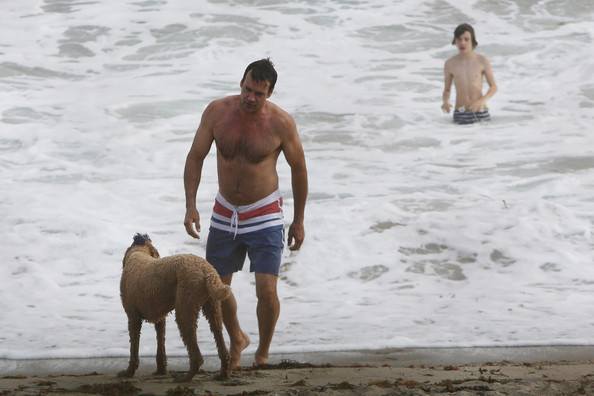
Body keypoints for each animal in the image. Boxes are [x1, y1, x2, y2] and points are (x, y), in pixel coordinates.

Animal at [119, 234, 230, 382]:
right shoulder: (160, 319)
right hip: (213, 307)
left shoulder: (133, 318)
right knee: (219, 336)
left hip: (185, 309)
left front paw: (129, 372)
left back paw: (185, 377)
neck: (139, 252)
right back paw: (222, 374)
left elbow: (134, 347)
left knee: (196, 356)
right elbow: (160, 345)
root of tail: (206, 270)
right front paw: (161, 371)